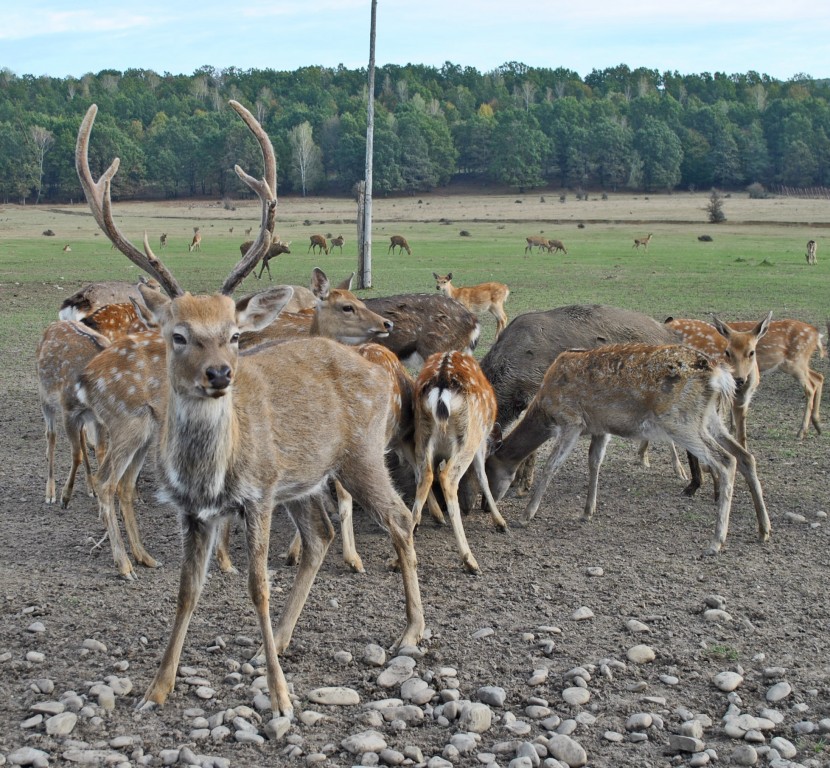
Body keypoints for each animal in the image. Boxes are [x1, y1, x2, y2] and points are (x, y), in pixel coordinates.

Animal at [75, 99, 426, 716]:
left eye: (235, 334)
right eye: (177, 335)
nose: (220, 374)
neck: (213, 471)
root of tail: (379, 369)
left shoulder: (259, 494)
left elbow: (257, 586)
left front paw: (281, 699)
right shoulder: (194, 511)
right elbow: (187, 591)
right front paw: (156, 689)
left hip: (361, 454)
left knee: (400, 519)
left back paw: (411, 632)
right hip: (305, 478)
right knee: (320, 537)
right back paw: (284, 637)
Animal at [412, 352, 508, 572]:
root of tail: (441, 386)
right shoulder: (481, 444)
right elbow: (483, 477)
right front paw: (500, 522)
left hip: (422, 436)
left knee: (426, 474)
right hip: (469, 438)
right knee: (447, 477)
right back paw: (469, 559)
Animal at [488, 344, 772, 556]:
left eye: (487, 475)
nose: (483, 506)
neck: (545, 408)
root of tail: (719, 375)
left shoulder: (572, 420)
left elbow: (551, 467)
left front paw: (526, 515)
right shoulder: (600, 427)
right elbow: (594, 462)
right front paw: (587, 511)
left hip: (680, 419)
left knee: (725, 461)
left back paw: (716, 542)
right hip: (709, 417)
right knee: (745, 456)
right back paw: (763, 529)